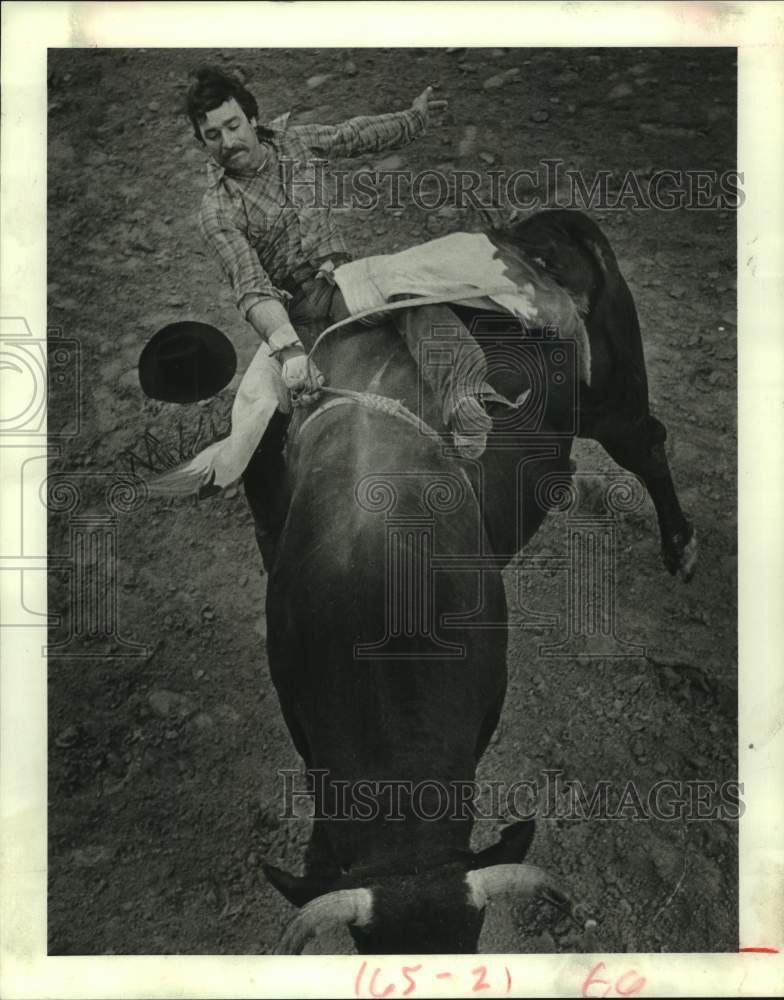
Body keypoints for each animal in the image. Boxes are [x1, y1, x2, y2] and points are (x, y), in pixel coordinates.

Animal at [255, 210, 695, 953]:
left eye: (473, 939)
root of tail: (547, 223)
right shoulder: (297, 709)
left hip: (615, 403)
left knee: (650, 446)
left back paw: (679, 548)